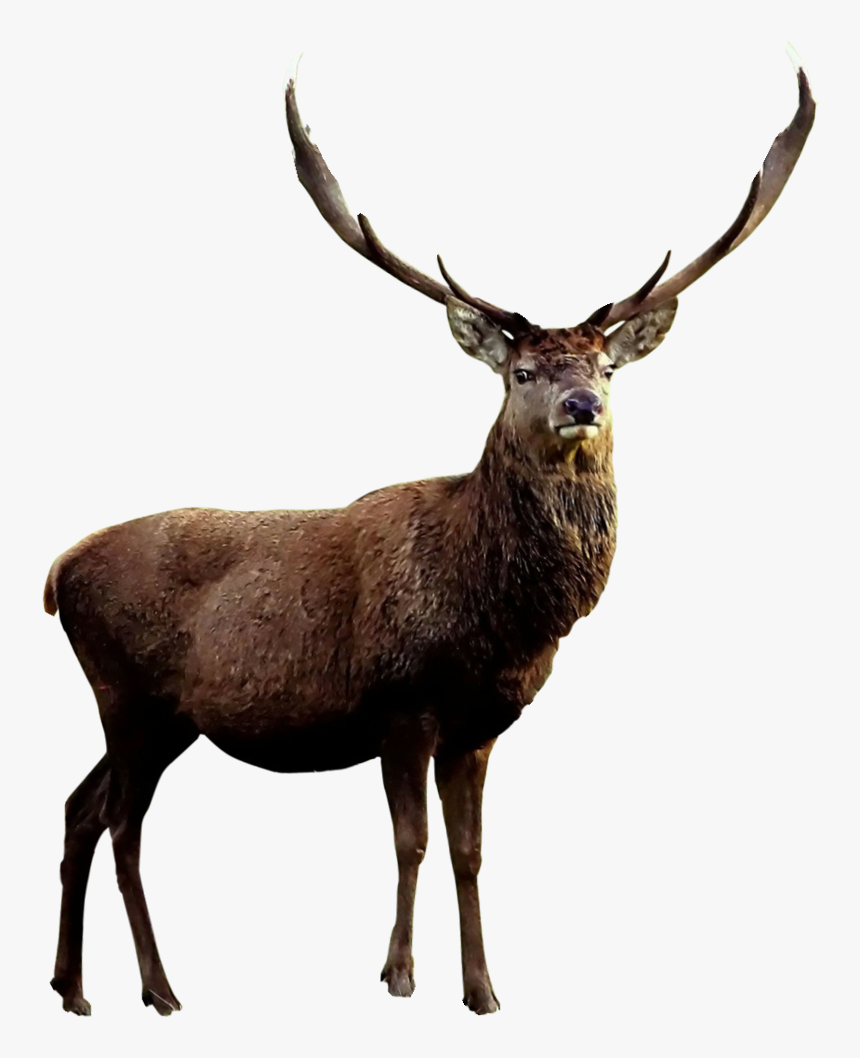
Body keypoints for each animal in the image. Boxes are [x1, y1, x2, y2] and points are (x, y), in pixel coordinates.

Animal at [45, 54, 813, 1018]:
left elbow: (470, 853)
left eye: (604, 365)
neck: (495, 621)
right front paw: (400, 975)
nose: (581, 405)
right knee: (122, 825)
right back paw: (159, 989)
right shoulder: (400, 702)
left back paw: (72, 988)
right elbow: (409, 843)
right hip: (129, 694)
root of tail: (55, 572)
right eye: (522, 371)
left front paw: (483, 989)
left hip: (160, 714)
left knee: (79, 809)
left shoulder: (480, 726)